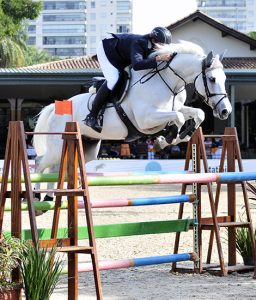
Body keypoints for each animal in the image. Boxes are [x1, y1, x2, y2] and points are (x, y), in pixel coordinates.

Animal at [32, 40, 232, 202]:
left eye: (224, 79)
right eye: (212, 79)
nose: (225, 111)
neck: (168, 82)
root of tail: (55, 108)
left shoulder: (173, 109)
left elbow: (197, 113)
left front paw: (175, 137)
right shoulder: (146, 120)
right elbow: (179, 117)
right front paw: (168, 137)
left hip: (87, 148)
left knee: (55, 168)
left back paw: (49, 198)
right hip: (58, 145)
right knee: (41, 162)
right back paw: (36, 196)